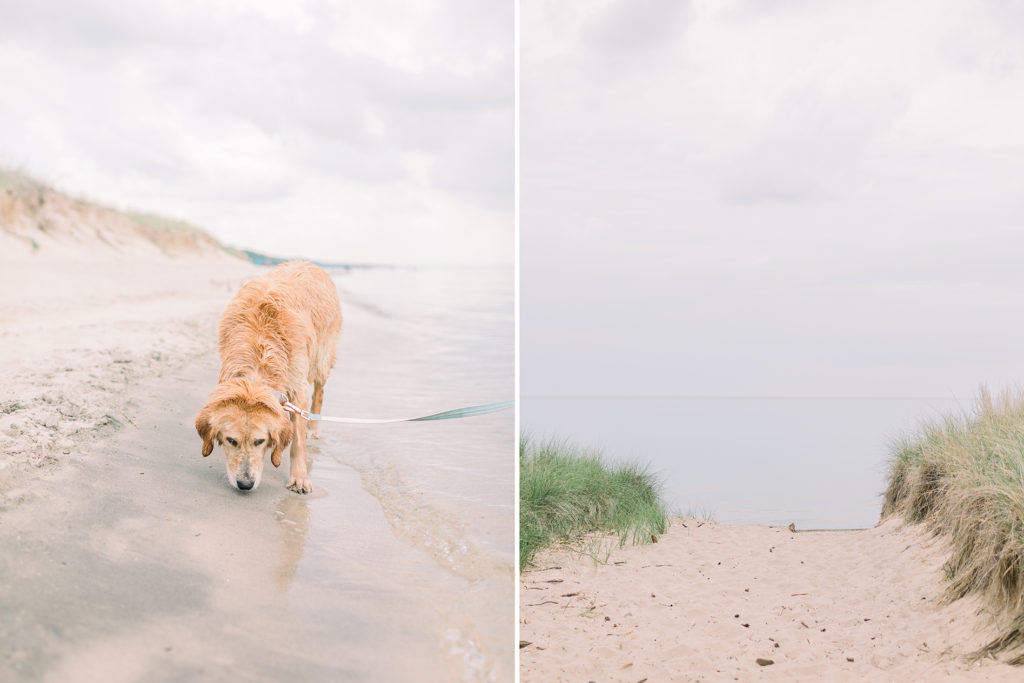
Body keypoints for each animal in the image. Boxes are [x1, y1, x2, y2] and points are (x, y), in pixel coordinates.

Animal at [195, 262, 344, 491]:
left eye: (260, 441)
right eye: (231, 440)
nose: (245, 484)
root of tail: (310, 263)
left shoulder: (298, 385)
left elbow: (297, 439)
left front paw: (299, 477)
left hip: (322, 357)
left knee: (319, 392)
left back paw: (312, 428)